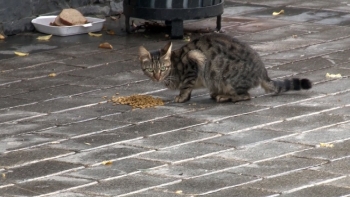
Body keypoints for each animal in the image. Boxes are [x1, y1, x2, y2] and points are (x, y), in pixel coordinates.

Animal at [138, 33, 310, 102]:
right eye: (151, 70)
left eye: (162, 69)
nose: (157, 77)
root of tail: (263, 71)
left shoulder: (193, 60)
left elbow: (186, 85)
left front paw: (182, 97)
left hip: (228, 77)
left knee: (245, 95)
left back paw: (225, 97)